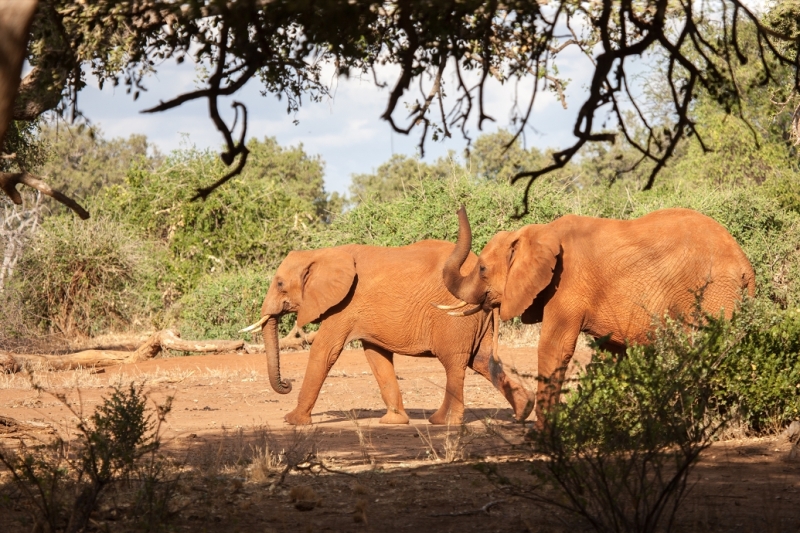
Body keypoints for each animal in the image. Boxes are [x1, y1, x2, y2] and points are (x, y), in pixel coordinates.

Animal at [241, 239, 536, 426]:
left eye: (280, 284)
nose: (287, 383)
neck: (322, 254)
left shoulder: (344, 305)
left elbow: (324, 351)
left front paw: (292, 421)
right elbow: (376, 357)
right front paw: (394, 421)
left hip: (454, 319)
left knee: (455, 363)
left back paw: (442, 421)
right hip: (476, 319)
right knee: (483, 361)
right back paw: (523, 412)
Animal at [440, 206, 752, 430]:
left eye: (482, 269)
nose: (459, 205)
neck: (538, 233)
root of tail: (744, 265)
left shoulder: (566, 284)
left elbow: (555, 348)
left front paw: (540, 435)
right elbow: (612, 355)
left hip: (712, 292)